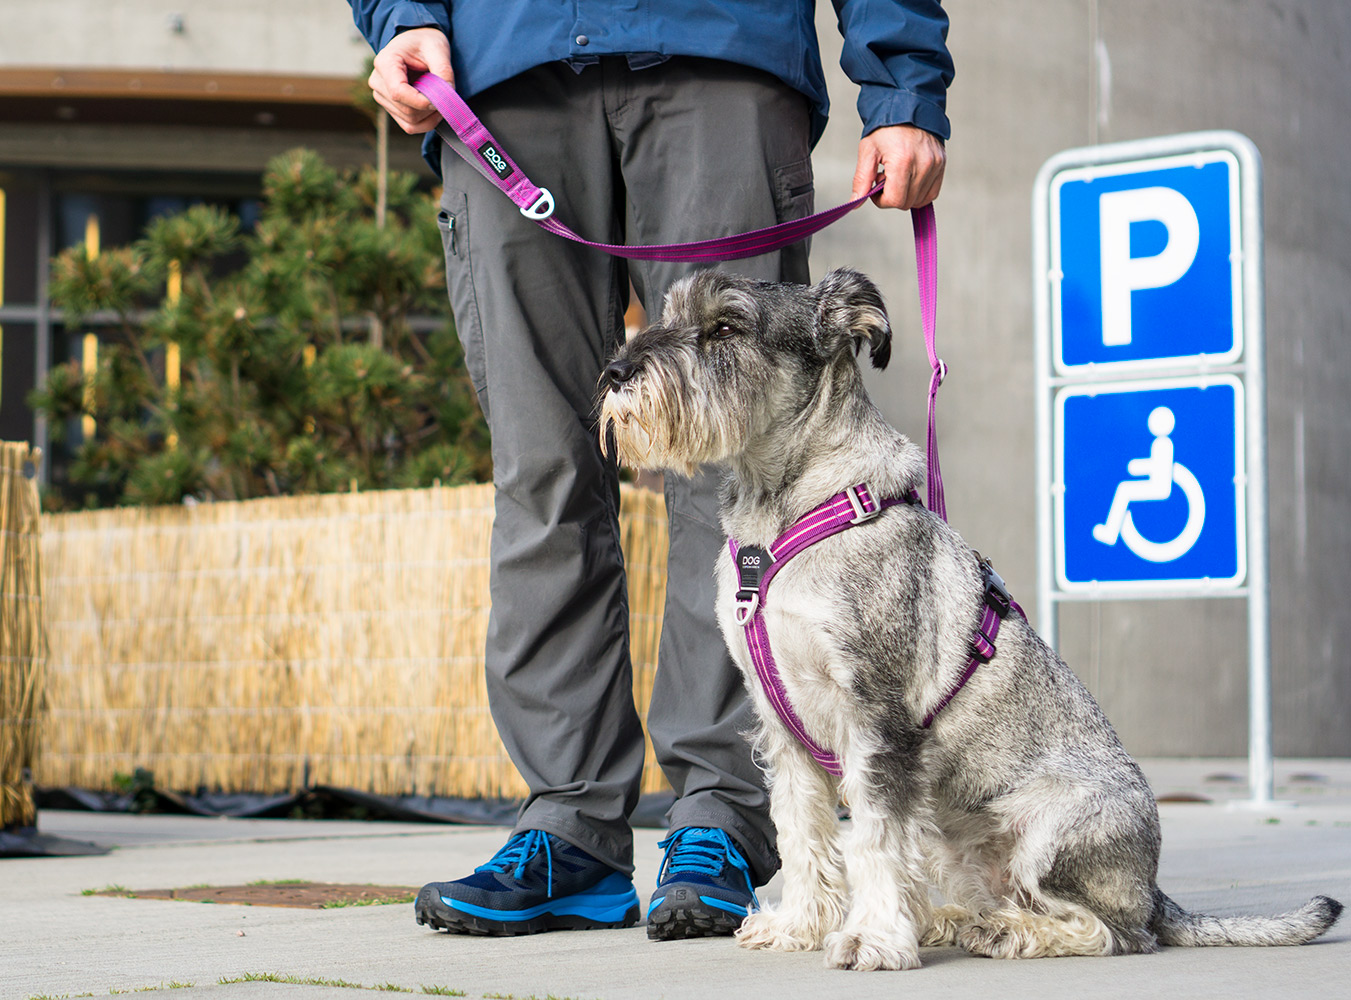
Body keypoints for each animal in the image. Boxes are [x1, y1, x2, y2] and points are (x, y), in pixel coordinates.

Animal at [599, 268, 1340, 972]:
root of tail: (1153, 890)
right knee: (991, 893)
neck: (783, 512)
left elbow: (873, 839)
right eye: (666, 314)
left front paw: (872, 940)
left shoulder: (877, 722)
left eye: (727, 326)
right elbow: (803, 832)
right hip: (949, 832)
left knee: (1109, 931)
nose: (615, 373)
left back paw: (1005, 932)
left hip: (1050, 830)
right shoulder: (784, 734)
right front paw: (801, 925)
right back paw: (955, 921)